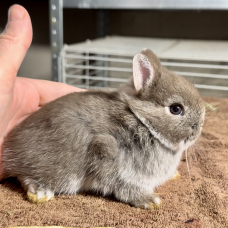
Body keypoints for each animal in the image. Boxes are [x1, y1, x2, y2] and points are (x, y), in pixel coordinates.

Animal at [1, 49, 205, 209]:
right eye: (176, 109)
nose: (199, 128)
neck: (143, 121)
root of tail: (8, 147)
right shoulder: (107, 153)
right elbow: (121, 185)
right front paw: (149, 200)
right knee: (24, 175)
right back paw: (41, 193)